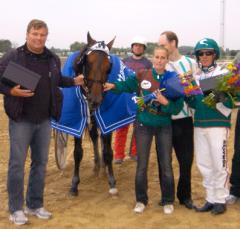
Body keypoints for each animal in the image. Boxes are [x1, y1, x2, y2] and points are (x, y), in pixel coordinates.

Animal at [68, 32, 118, 196]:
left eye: (109, 67)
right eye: (87, 62)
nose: (95, 100)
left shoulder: (107, 119)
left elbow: (108, 151)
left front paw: (112, 181)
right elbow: (77, 152)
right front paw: (74, 184)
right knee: (95, 137)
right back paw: (97, 165)